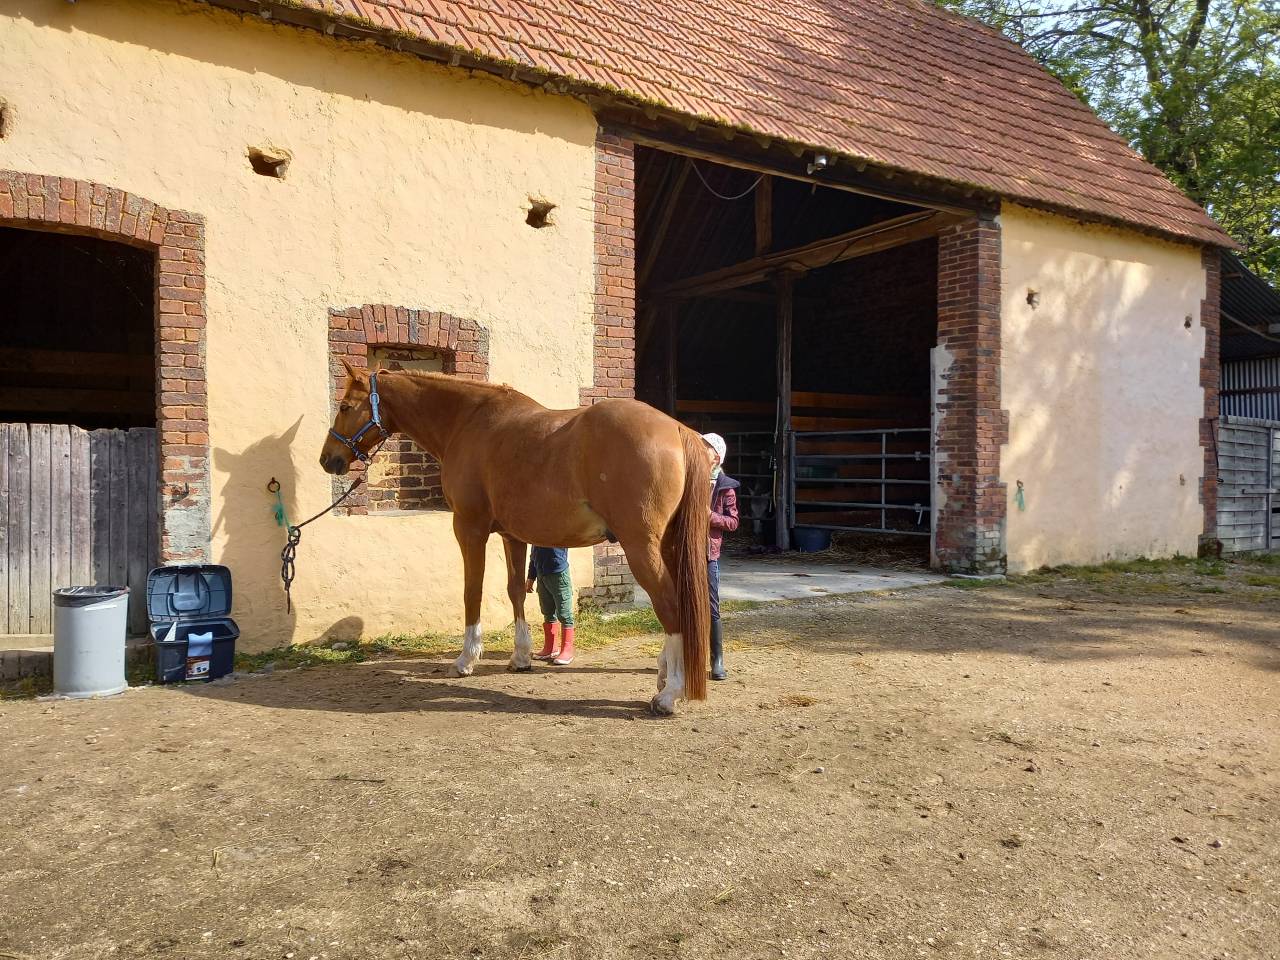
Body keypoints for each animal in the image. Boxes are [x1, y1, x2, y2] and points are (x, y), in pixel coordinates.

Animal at [318, 362, 711, 714]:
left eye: (345, 406)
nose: (328, 459)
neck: (467, 422)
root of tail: (677, 430)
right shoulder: (513, 536)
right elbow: (515, 591)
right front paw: (521, 657)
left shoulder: (469, 528)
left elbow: (472, 592)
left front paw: (465, 660)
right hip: (667, 544)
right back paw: (664, 676)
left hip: (641, 546)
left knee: (670, 605)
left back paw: (669, 695)